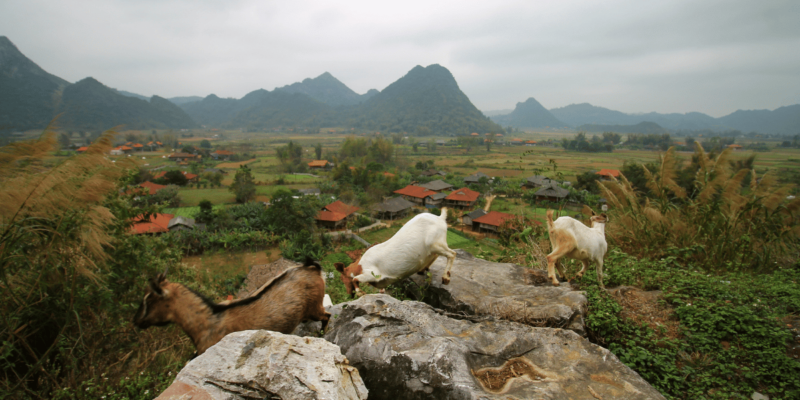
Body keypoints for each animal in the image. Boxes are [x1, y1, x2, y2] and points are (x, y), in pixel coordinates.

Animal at [133, 258, 330, 354]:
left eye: (149, 300)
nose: (136, 321)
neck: (208, 321)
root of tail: (312, 268)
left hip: (314, 307)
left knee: (326, 316)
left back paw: (322, 333)